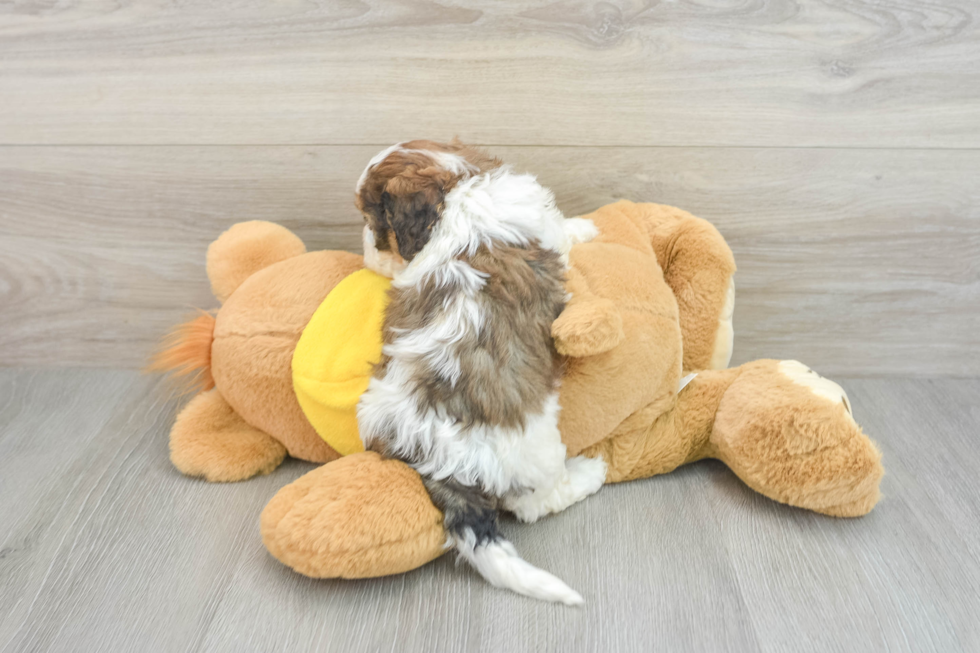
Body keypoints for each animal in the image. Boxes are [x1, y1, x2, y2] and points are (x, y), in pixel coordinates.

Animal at [352, 140, 604, 604]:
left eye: (374, 222)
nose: (365, 253)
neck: (459, 184)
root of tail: (424, 452)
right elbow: (563, 234)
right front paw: (585, 228)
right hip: (533, 449)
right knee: (536, 504)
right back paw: (589, 473)